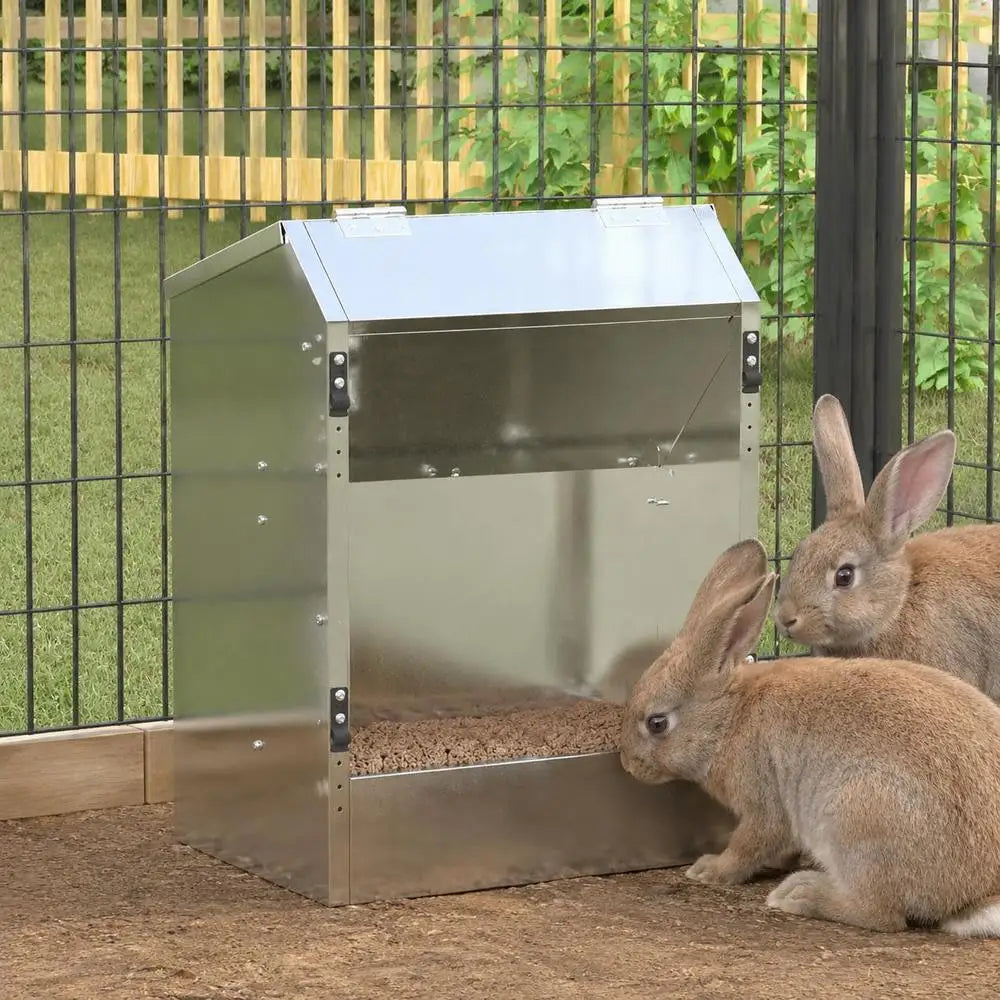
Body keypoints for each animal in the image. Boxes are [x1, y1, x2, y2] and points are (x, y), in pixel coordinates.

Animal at [619, 537, 1000, 936]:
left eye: (657, 723)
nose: (629, 765)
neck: (728, 718)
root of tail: (974, 893)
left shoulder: (764, 802)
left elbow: (749, 843)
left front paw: (709, 870)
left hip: (855, 818)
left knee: (882, 914)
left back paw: (799, 895)